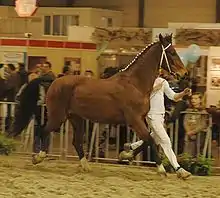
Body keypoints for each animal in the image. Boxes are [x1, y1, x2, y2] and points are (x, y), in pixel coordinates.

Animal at [9, 33, 187, 171]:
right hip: (58, 116)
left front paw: (126, 154)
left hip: (76, 118)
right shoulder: (134, 119)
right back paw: (38, 157)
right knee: (43, 131)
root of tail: (53, 81)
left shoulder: (141, 119)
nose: (184, 73)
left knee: (75, 141)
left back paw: (85, 165)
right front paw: (161, 169)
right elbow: (150, 140)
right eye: (171, 52)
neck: (135, 83)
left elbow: (149, 139)